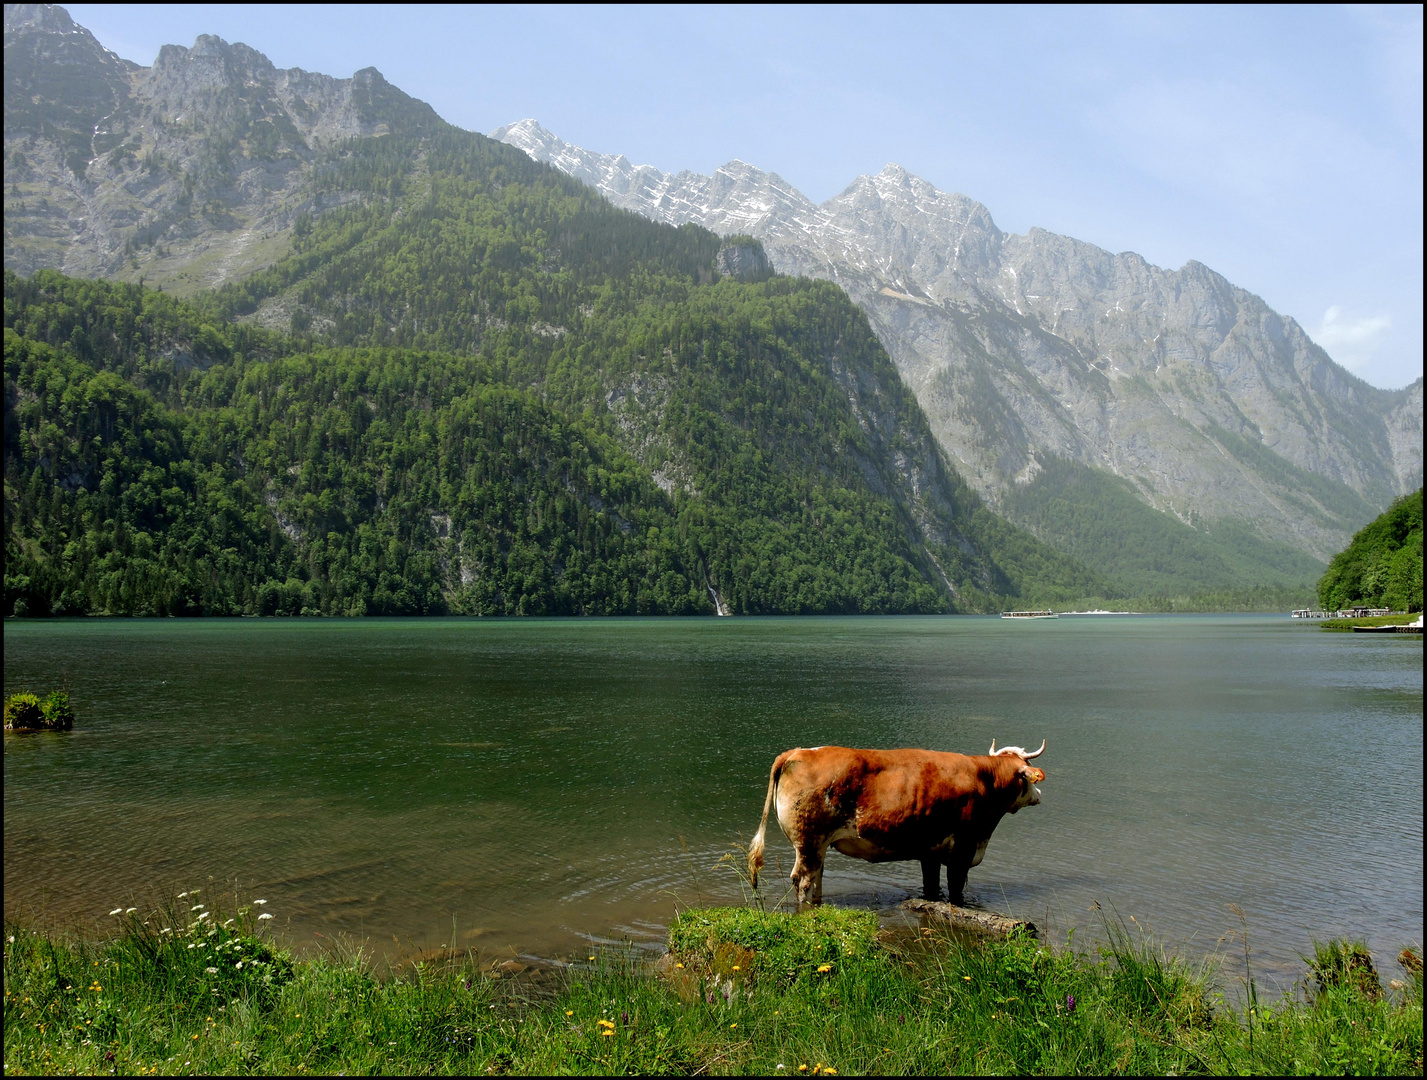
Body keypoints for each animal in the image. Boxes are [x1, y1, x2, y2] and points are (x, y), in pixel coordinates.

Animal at [753, 741, 1044, 901]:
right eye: (1029, 777)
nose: (1039, 795)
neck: (985, 780)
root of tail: (797, 752)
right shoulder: (963, 851)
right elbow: (955, 892)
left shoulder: (931, 851)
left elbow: (931, 887)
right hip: (809, 844)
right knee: (802, 881)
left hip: (818, 847)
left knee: (816, 879)